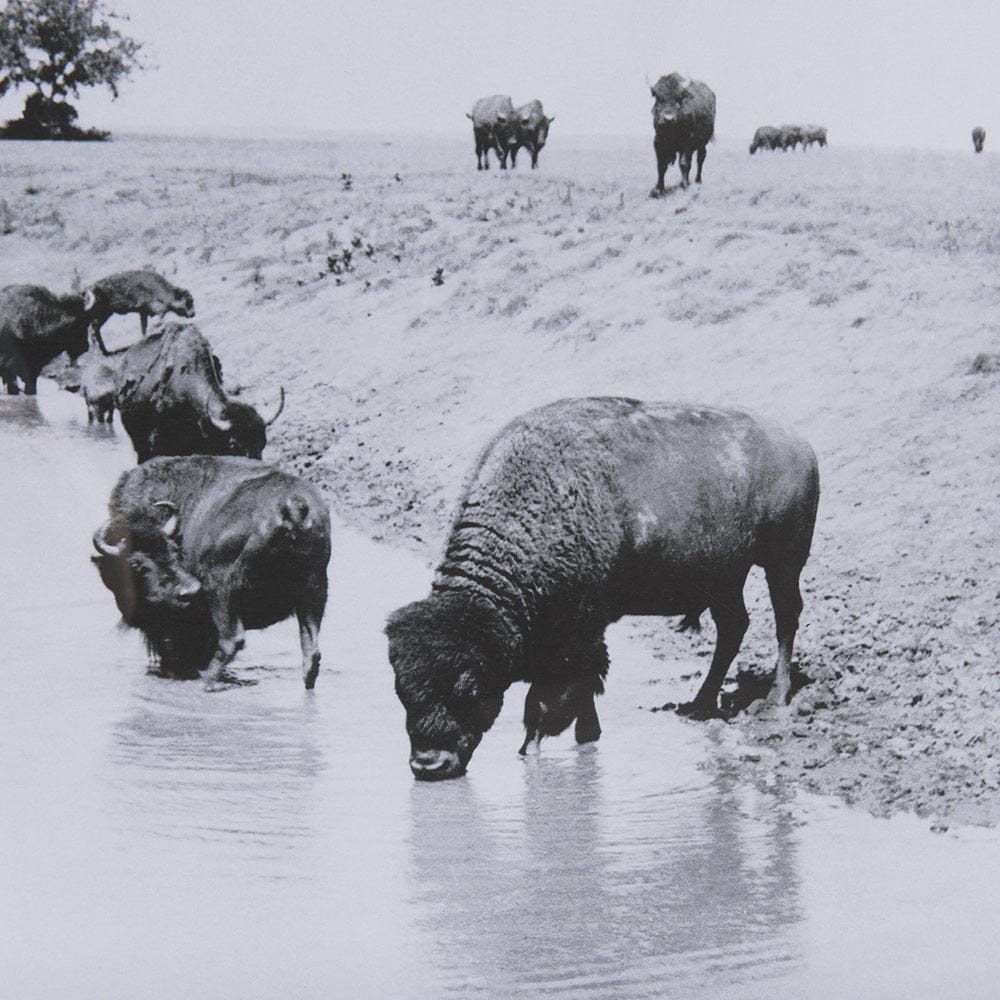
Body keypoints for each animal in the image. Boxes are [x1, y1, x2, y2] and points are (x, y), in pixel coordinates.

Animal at [92, 455, 331, 689]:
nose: (189, 590)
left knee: (232, 639)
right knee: (311, 652)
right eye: (135, 564)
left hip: (221, 591)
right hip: (315, 591)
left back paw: (206, 681)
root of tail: (292, 506)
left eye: (174, 550)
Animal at [387, 397, 819, 781]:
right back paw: (698, 704)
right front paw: (583, 737)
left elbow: (546, 704)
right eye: (401, 689)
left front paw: (532, 754)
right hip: (725, 579)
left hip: (782, 562)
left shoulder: (579, 637)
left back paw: (775, 698)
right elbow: (579, 696)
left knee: (785, 618)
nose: (429, 765)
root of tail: (800, 445)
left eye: (470, 687)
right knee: (734, 627)